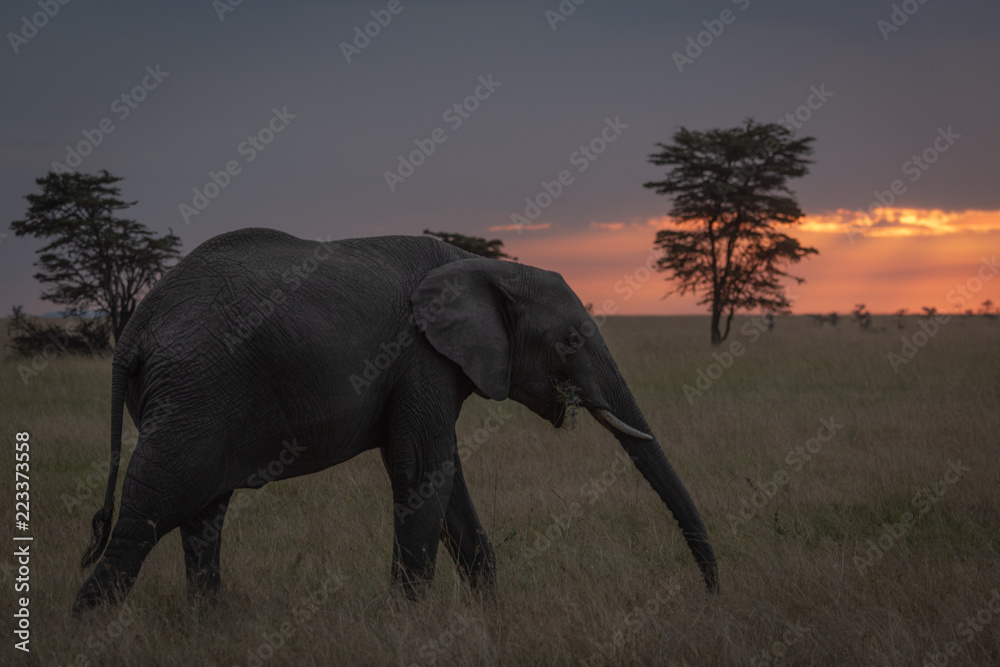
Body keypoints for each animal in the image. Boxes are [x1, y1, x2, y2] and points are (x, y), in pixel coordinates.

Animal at [74, 227, 717, 610]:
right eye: (570, 341)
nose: (711, 596)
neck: (482, 266)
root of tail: (135, 327)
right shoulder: (420, 357)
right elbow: (424, 473)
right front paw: (410, 623)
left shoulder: (422, 367)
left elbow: (445, 480)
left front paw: (491, 617)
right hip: (195, 393)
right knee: (151, 509)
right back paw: (91, 629)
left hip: (192, 396)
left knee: (203, 514)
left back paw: (210, 625)